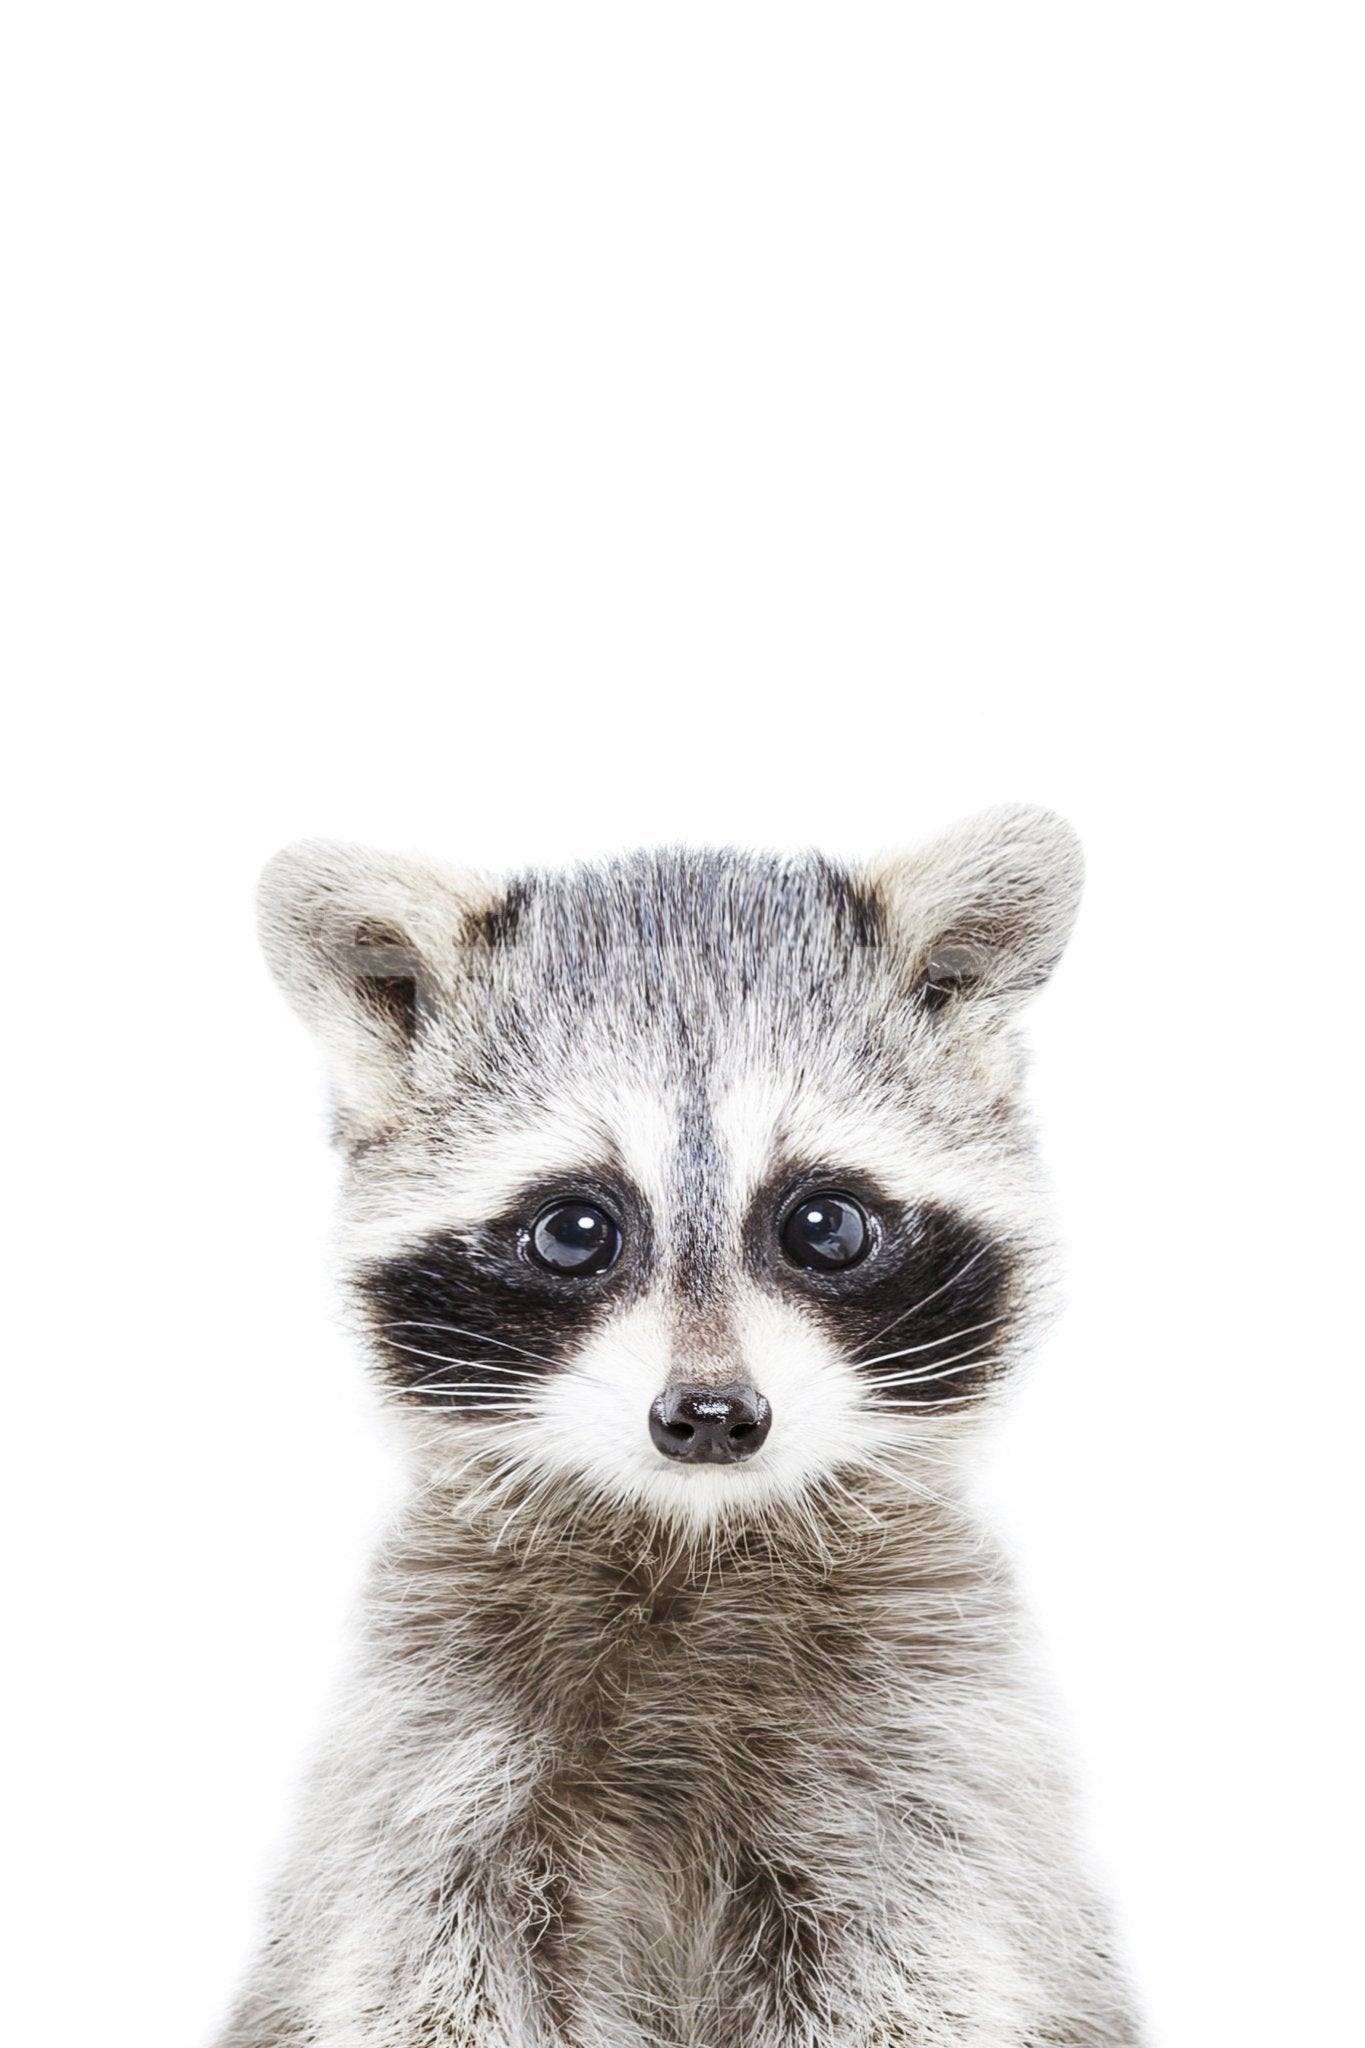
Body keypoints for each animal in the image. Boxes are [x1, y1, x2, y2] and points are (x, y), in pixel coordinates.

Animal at [217, 805, 1143, 2048]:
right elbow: (422, 1967)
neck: (691, 1535)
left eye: (824, 1222)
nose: (710, 1415)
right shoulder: (430, 1749)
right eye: (574, 1229)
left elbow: (914, 1969)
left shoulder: (932, 1755)